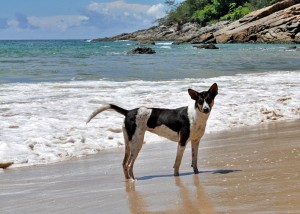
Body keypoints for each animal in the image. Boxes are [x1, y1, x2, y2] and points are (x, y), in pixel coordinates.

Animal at [86, 83, 218, 180]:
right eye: (200, 101)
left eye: (209, 99)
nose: (206, 109)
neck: (196, 116)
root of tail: (129, 112)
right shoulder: (182, 142)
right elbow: (177, 163)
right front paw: (176, 176)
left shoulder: (195, 141)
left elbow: (194, 161)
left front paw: (196, 173)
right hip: (137, 143)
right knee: (129, 164)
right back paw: (133, 180)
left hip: (128, 143)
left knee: (124, 164)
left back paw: (129, 181)